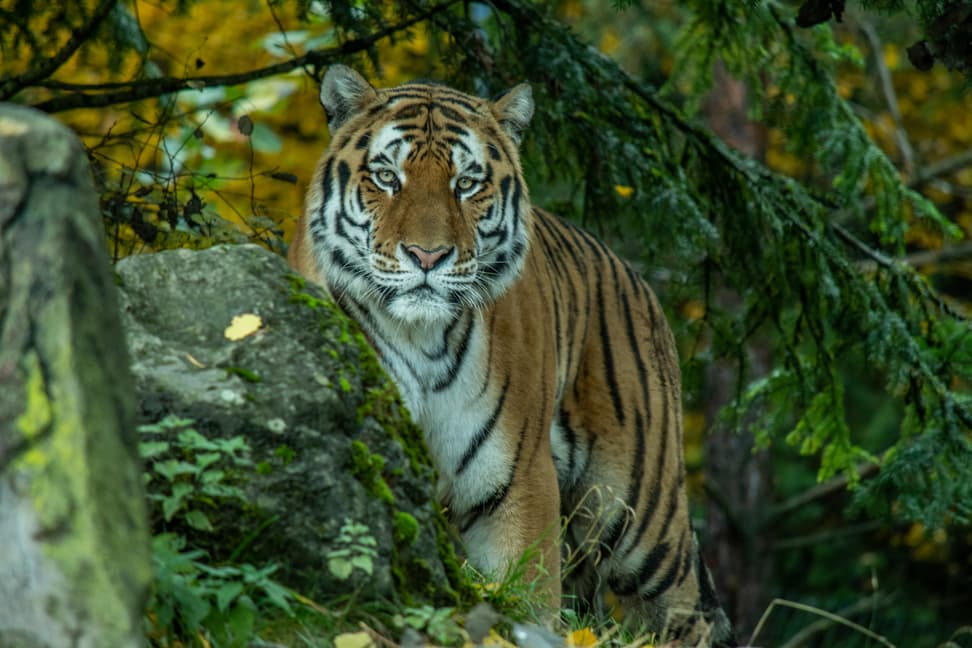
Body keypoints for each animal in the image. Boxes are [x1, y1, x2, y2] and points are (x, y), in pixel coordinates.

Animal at [292, 64, 732, 644]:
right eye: (387, 177)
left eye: (466, 183)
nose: (427, 256)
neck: (421, 336)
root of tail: (638, 279)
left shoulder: (518, 481)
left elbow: (528, 598)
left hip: (641, 515)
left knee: (687, 611)